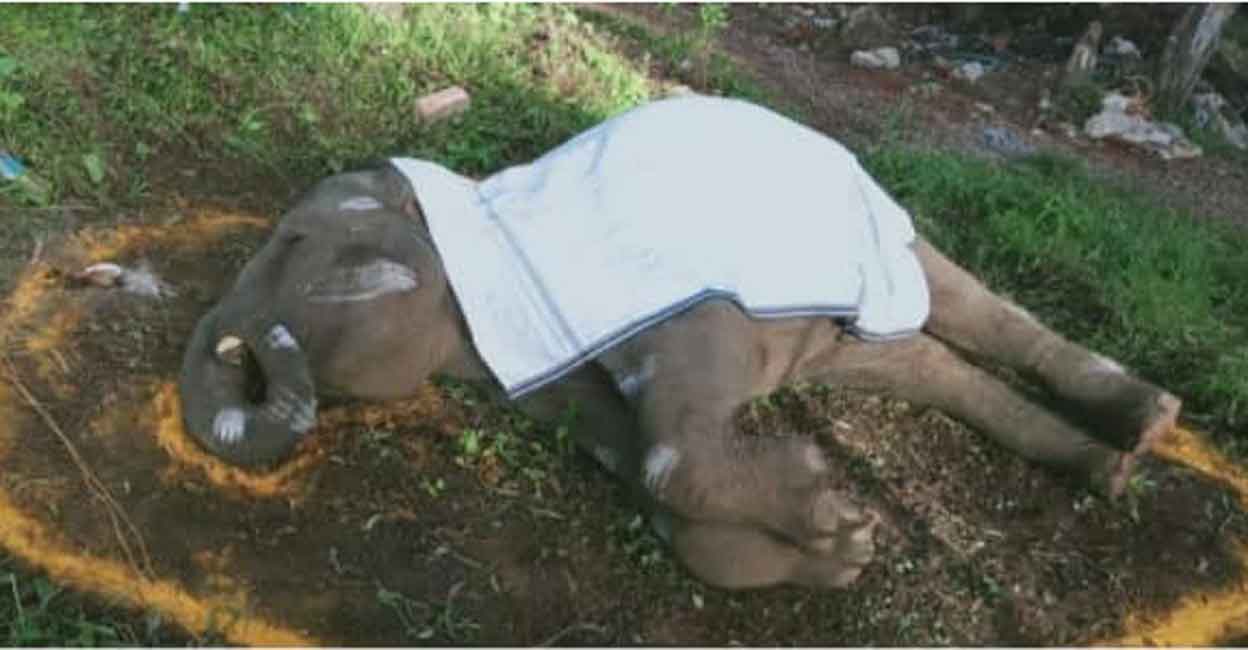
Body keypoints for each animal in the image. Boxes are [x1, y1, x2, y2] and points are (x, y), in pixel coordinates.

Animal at [179, 159, 1181, 592]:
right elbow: (650, 476)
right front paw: (843, 547)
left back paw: (1155, 421)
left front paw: (840, 522)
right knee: (927, 358)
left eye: (298, 243)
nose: (234, 346)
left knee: (969, 304)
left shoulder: (674, 307)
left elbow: (672, 455)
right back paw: (1117, 466)